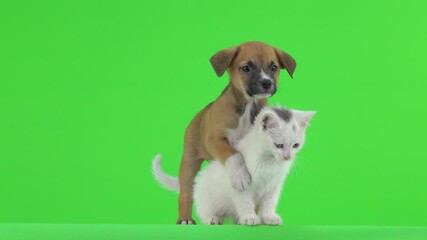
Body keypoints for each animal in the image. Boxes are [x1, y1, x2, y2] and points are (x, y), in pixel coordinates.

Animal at [152, 106, 316, 226]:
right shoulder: (241, 184)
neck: (269, 161)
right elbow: (245, 201)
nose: (288, 157)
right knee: (203, 211)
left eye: (296, 145)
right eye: (279, 145)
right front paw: (250, 217)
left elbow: (270, 202)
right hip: (206, 198)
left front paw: (269, 217)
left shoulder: (274, 185)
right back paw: (213, 218)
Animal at [176, 41, 296, 225]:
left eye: (274, 67)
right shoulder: (215, 140)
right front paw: (240, 177)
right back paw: (186, 218)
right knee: (186, 193)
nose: (266, 82)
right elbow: (234, 155)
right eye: (246, 68)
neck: (248, 106)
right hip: (189, 162)